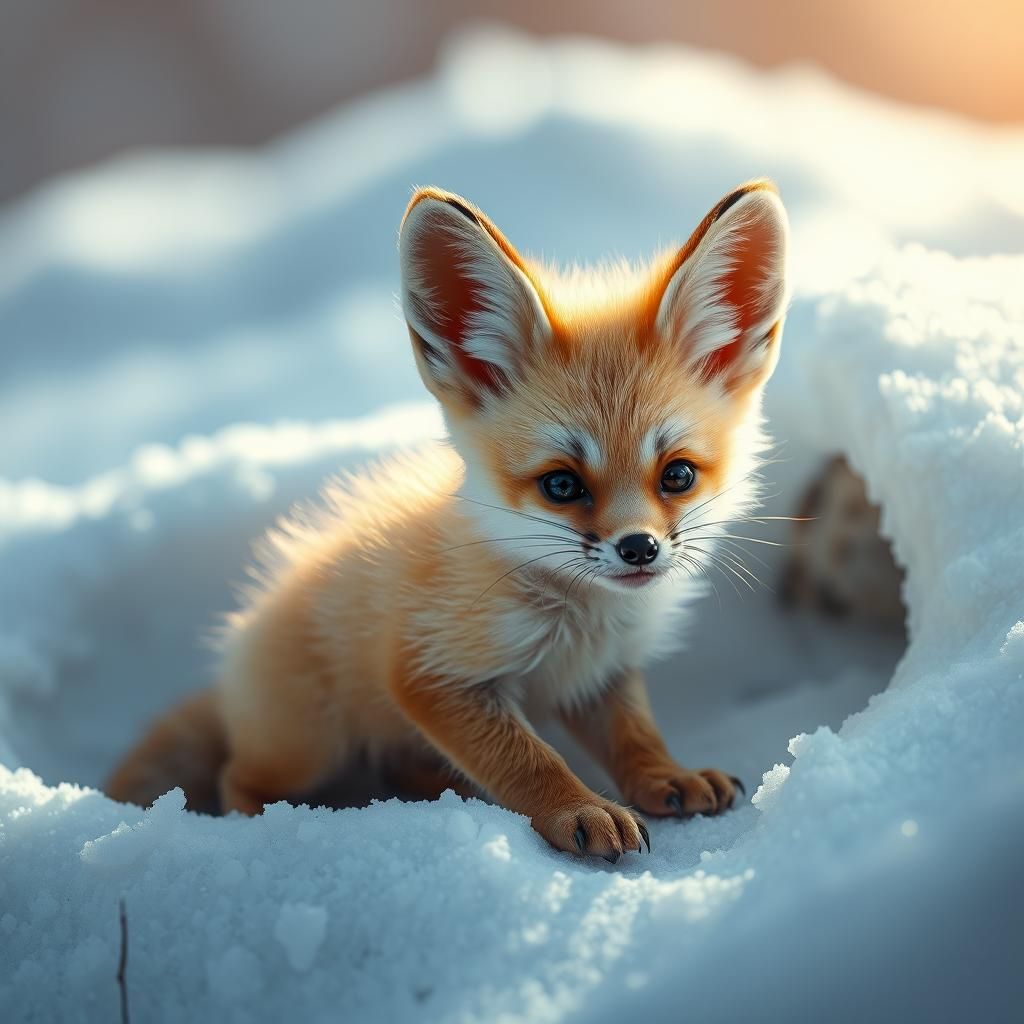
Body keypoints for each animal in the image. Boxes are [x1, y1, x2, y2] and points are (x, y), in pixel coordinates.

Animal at [106, 179, 789, 861]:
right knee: (237, 778)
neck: (575, 622)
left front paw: (666, 777)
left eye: (677, 475)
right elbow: (528, 762)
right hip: (307, 748)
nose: (639, 547)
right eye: (561, 485)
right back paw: (274, 828)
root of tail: (234, 663)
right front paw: (579, 809)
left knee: (395, 767)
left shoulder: (600, 677)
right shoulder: (430, 673)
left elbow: (636, 737)